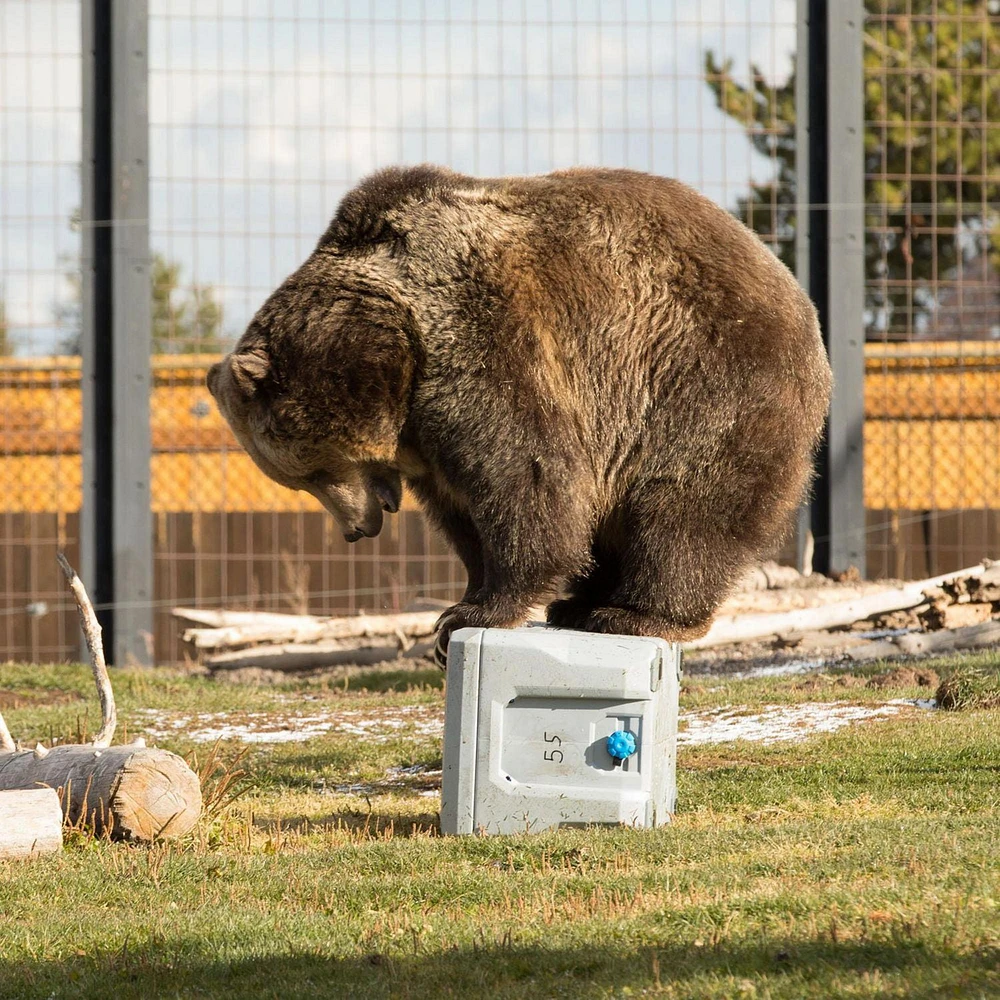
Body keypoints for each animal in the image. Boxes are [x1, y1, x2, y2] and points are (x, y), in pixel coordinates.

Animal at [207, 167, 832, 660]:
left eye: (309, 472)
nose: (359, 528)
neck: (399, 346)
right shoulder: (426, 436)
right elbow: (461, 511)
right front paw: (465, 598)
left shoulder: (481, 341)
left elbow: (527, 475)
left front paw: (471, 614)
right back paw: (582, 603)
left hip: (700, 383)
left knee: (682, 507)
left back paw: (637, 613)